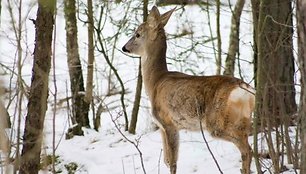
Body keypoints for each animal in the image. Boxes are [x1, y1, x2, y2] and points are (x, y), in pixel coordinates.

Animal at [122, 6, 256, 173]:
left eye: (137, 34)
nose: (124, 47)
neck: (155, 82)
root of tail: (244, 89)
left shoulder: (168, 121)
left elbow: (172, 162)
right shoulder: (162, 127)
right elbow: (166, 160)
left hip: (217, 122)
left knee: (247, 149)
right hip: (243, 118)